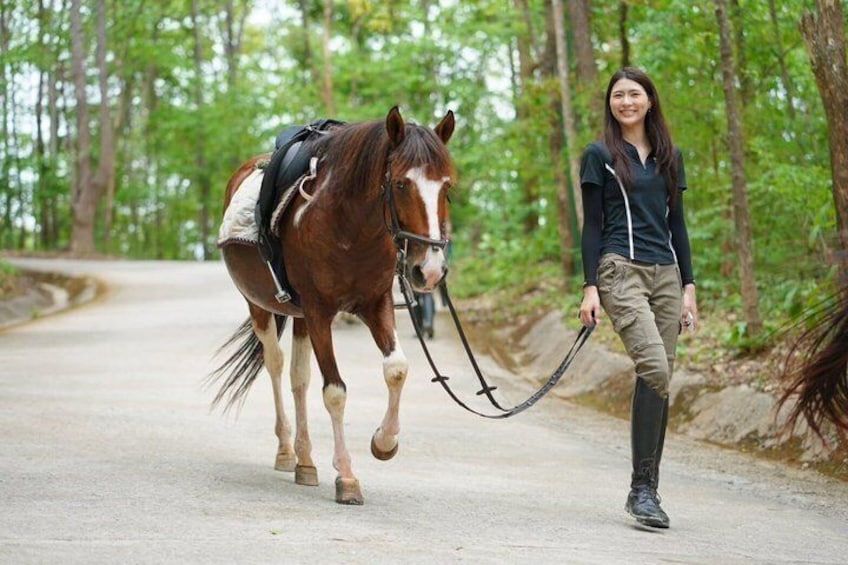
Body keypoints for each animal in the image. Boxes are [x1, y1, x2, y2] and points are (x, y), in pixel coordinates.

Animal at [210, 107, 455, 505]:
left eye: (447, 186)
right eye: (401, 184)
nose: (429, 270)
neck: (350, 227)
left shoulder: (375, 305)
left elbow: (396, 369)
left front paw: (384, 442)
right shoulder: (320, 311)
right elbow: (335, 391)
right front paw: (347, 477)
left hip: (301, 318)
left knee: (298, 378)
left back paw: (306, 461)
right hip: (261, 307)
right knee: (276, 366)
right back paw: (286, 451)